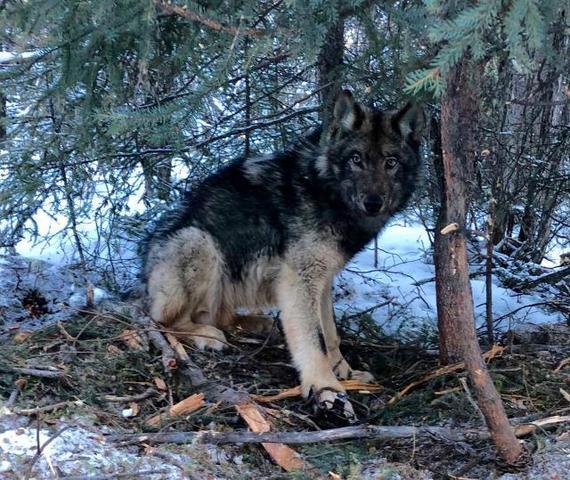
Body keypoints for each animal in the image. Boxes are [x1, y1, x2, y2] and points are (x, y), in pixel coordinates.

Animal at [142, 90, 423, 420]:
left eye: (391, 162)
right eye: (357, 159)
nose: (373, 202)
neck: (322, 189)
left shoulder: (322, 278)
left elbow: (330, 333)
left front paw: (344, 372)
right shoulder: (299, 279)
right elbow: (314, 340)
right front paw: (326, 388)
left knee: (220, 315)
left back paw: (257, 325)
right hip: (199, 243)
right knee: (165, 320)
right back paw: (207, 336)